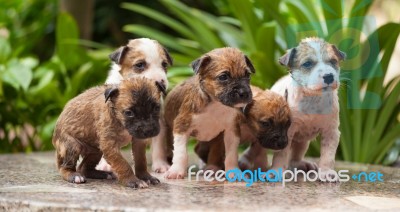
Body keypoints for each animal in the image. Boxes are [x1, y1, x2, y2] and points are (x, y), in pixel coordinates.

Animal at [97, 37, 173, 174]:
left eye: (164, 65)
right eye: (140, 65)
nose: (161, 82)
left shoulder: (157, 121)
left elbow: (158, 146)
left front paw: (161, 165)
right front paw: (105, 165)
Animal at [163, 47, 255, 178]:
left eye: (247, 75)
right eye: (223, 77)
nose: (244, 93)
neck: (216, 104)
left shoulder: (231, 131)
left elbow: (231, 155)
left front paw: (233, 171)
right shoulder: (181, 126)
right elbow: (181, 153)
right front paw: (176, 171)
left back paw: (212, 167)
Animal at [270, 36, 346, 181]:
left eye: (333, 61)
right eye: (307, 64)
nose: (329, 76)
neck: (313, 99)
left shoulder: (331, 132)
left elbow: (328, 156)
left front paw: (326, 172)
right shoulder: (286, 133)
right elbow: (281, 155)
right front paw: (276, 172)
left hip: (302, 143)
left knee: (294, 158)